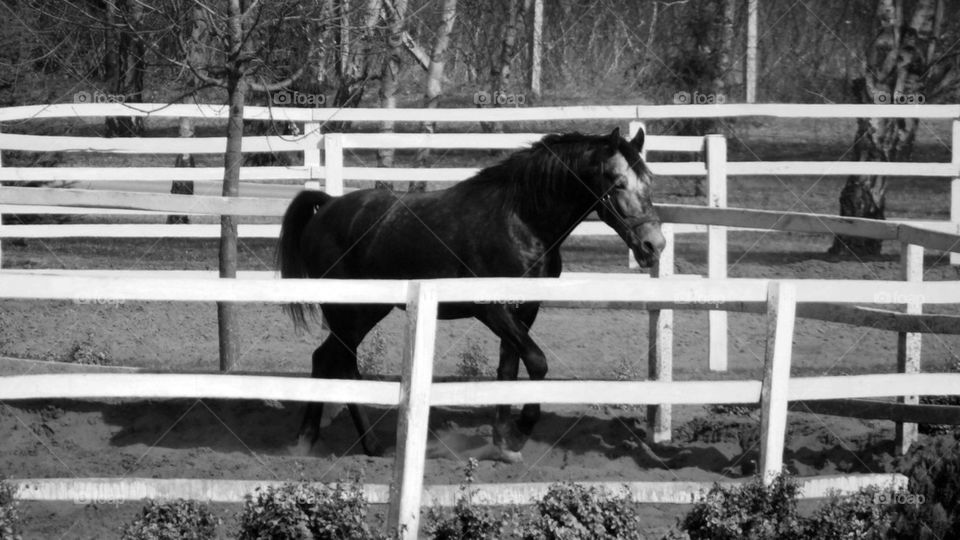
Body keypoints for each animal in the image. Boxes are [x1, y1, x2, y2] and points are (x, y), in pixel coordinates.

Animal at [276, 127, 665, 461]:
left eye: (649, 181)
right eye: (618, 182)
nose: (654, 245)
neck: (520, 220)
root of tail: (327, 206)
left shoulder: (525, 310)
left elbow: (507, 370)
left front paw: (502, 444)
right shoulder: (492, 311)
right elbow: (537, 362)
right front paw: (519, 433)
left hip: (365, 312)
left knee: (326, 359)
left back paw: (315, 441)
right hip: (349, 311)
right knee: (338, 361)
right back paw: (355, 444)